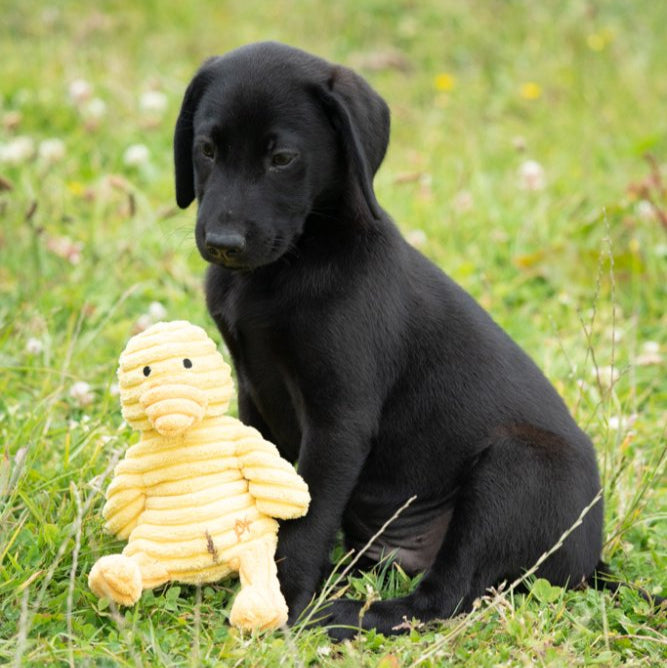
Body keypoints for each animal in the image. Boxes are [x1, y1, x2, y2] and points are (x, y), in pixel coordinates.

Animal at [175, 41, 608, 636]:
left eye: (282, 159)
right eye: (208, 150)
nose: (223, 242)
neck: (296, 262)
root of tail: (594, 563)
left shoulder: (339, 421)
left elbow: (307, 517)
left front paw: (282, 601)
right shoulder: (254, 396)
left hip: (516, 467)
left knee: (444, 598)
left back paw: (344, 615)